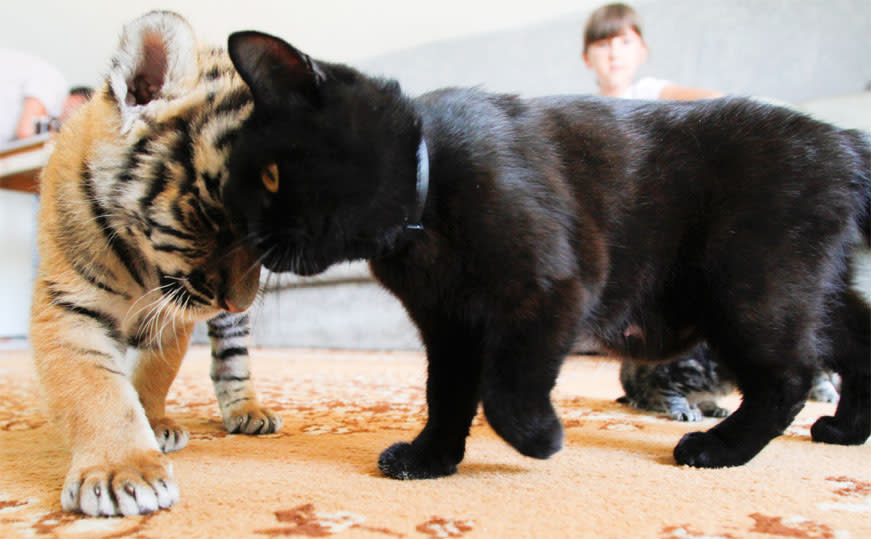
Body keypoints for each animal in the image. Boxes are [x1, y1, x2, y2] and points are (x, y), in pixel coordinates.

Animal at [225, 30, 871, 476]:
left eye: (272, 177)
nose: (245, 233)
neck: (429, 194)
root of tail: (837, 138)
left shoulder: (551, 288)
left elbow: (504, 384)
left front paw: (538, 438)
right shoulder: (449, 325)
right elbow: (446, 393)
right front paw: (430, 460)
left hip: (750, 285)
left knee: (788, 375)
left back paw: (719, 448)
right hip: (811, 290)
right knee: (855, 345)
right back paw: (845, 429)